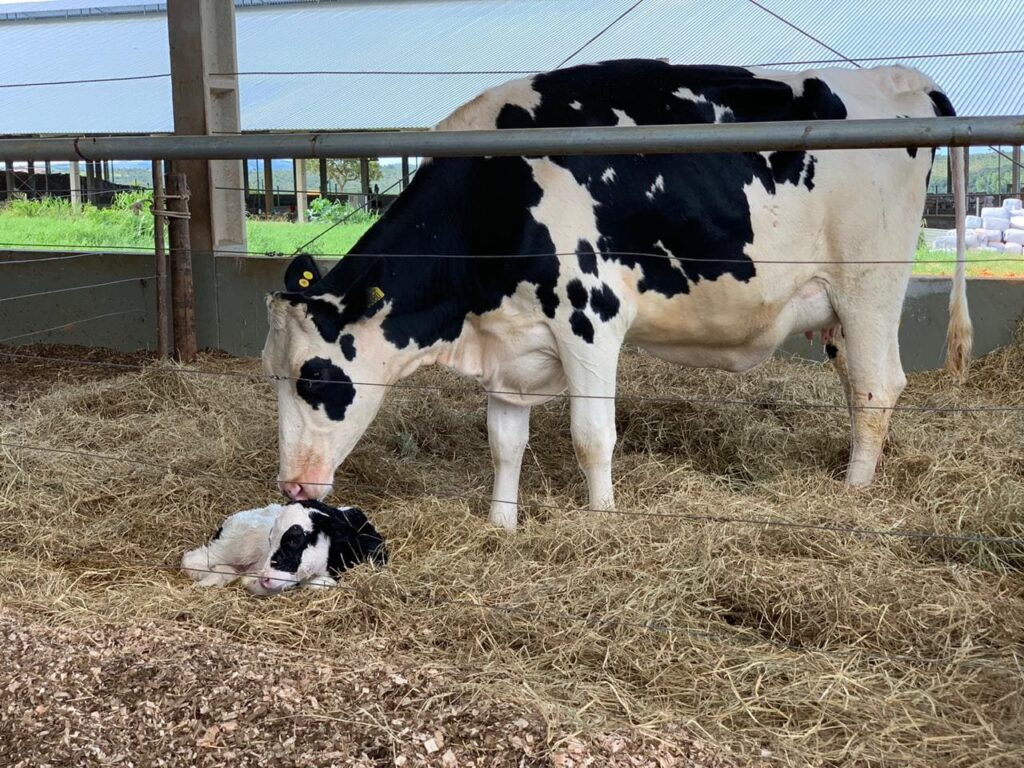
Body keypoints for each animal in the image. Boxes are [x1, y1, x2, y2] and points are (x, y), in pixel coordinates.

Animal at [262, 58, 966, 528]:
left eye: (312, 376)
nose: (291, 488)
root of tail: (905, 79)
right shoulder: (510, 341)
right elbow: (504, 442)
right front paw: (501, 524)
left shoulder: (589, 317)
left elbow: (591, 435)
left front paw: (601, 520)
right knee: (856, 386)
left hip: (870, 284)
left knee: (877, 387)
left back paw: (854, 494)